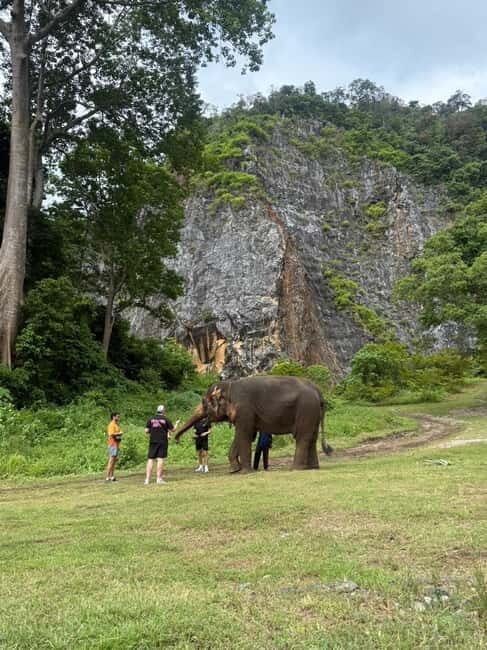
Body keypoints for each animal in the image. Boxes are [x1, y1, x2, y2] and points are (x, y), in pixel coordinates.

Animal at [174, 375, 332, 472]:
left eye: (203, 403)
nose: (176, 440)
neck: (229, 385)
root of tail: (318, 391)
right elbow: (245, 436)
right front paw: (234, 470)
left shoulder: (244, 409)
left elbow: (243, 435)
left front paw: (245, 471)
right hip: (313, 413)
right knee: (312, 438)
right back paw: (312, 468)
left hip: (306, 409)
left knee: (302, 437)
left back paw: (295, 469)